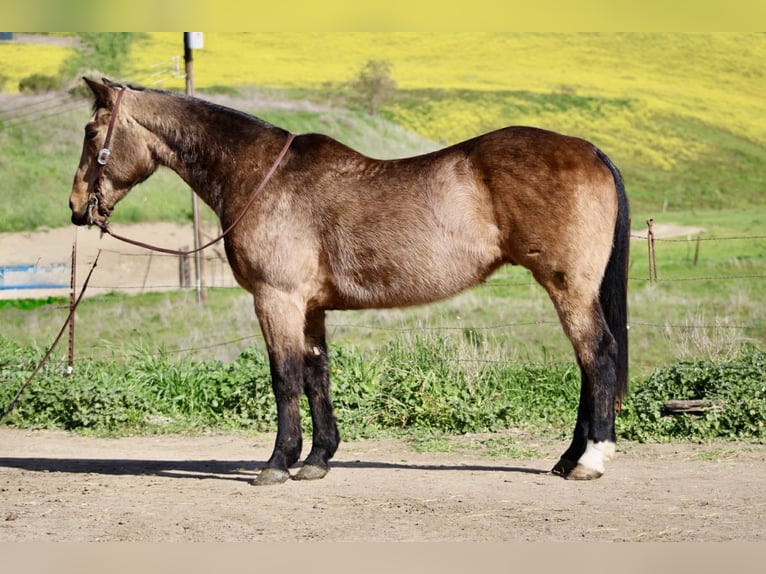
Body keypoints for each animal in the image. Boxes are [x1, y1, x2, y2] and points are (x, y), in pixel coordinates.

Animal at [70, 78, 629, 485]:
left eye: (92, 133)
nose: (77, 208)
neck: (261, 178)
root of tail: (590, 150)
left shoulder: (276, 300)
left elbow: (284, 377)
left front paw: (278, 463)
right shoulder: (310, 307)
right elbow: (317, 375)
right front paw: (318, 459)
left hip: (567, 286)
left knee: (597, 354)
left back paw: (589, 460)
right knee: (588, 362)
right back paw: (567, 458)